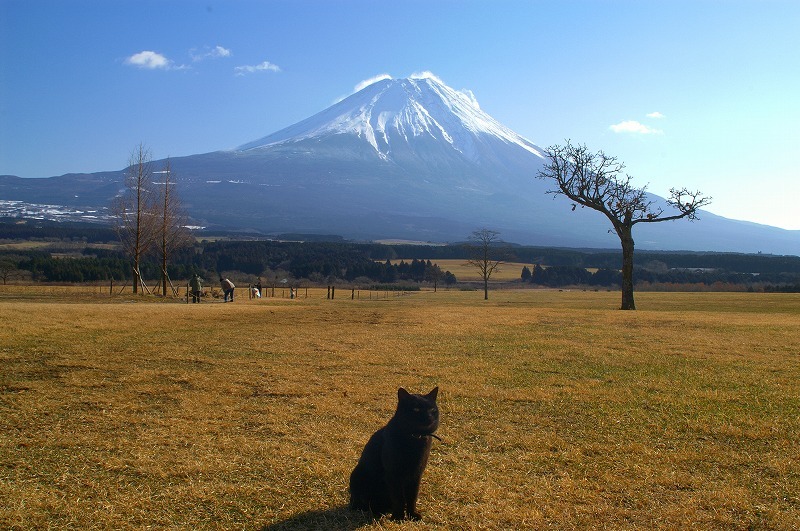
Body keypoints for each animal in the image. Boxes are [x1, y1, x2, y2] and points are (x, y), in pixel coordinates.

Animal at [348, 386, 440, 520]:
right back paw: (377, 511)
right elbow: (399, 498)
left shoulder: (416, 474)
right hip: (357, 475)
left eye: (432, 409)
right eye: (416, 409)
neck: (414, 438)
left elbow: (412, 498)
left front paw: (412, 515)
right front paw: (398, 517)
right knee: (363, 503)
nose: (429, 417)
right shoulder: (393, 474)